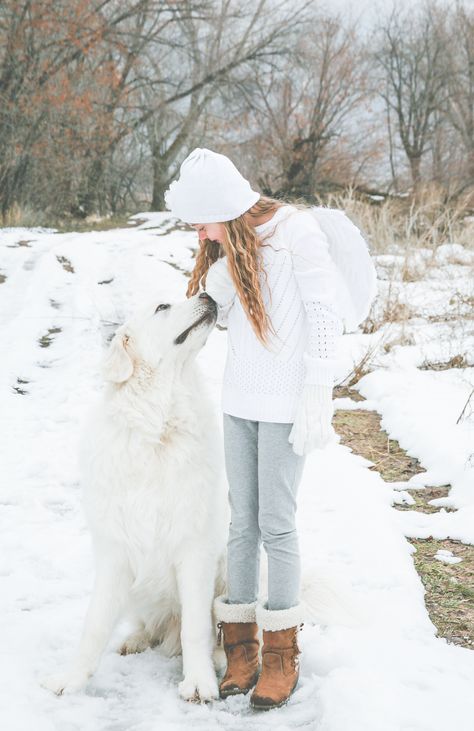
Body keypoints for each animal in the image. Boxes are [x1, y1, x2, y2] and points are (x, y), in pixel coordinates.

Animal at [41, 292, 231, 704]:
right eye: (162, 307)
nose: (208, 295)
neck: (157, 430)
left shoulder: (194, 550)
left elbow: (196, 627)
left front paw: (199, 681)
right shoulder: (116, 551)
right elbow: (94, 625)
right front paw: (71, 679)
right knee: (151, 626)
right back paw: (137, 639)